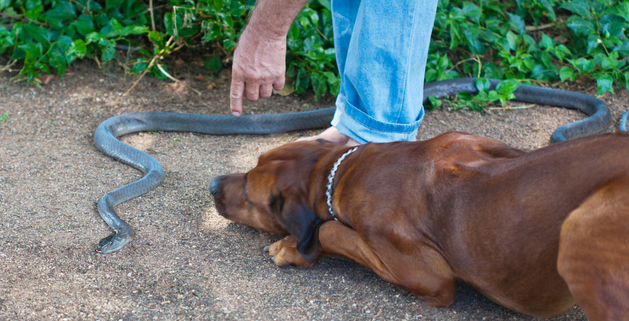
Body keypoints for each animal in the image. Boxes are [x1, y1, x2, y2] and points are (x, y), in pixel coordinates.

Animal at [210, 131, 628, 318]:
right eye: (253, 162)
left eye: (247, 193)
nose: (213, 184)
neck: (339, 171)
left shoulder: (430, 277)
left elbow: (329, 230)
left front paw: (291, 247)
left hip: (580, 231)